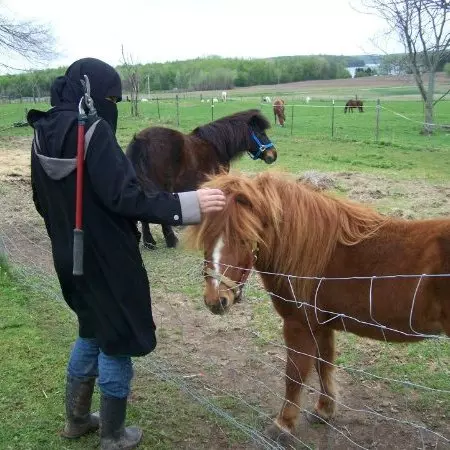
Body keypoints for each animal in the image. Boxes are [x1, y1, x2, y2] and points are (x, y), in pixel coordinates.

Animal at [125, 109, 276, 250]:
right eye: (261, 134)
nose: (273, 155)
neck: (216, 146)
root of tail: (141, 140)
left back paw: (149, 242)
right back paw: (171, 241)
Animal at [183, 172, 450, 446]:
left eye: (245, 237)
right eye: (206, 236)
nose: (216, 300)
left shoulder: (298, 325)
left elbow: (295, 374)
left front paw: (283, 425)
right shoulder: (322, 325)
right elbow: (324, 365)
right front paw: (324, 410)